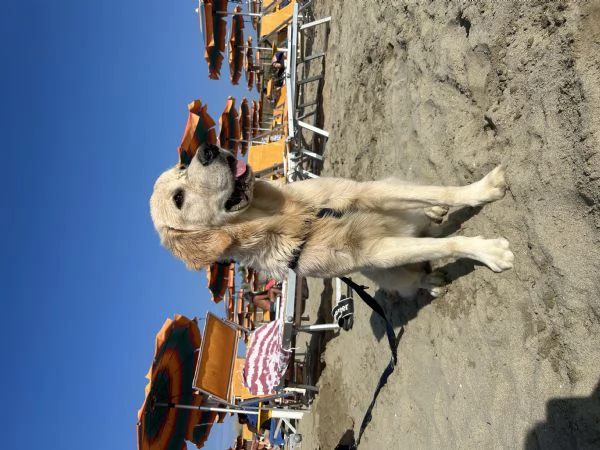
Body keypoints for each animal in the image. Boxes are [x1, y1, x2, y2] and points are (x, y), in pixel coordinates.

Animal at [150, 144, 510, 298]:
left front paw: (483, 188)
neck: (291, 216)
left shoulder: (366, 191)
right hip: (391, 276)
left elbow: (445, 192)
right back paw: (430, 281)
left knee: (423, 206)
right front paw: (490, 252)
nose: (207, 149)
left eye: (183, 163)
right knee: (415, 274)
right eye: (178, 198)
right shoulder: (375, 252)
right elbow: (448, 244)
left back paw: (432, 212)